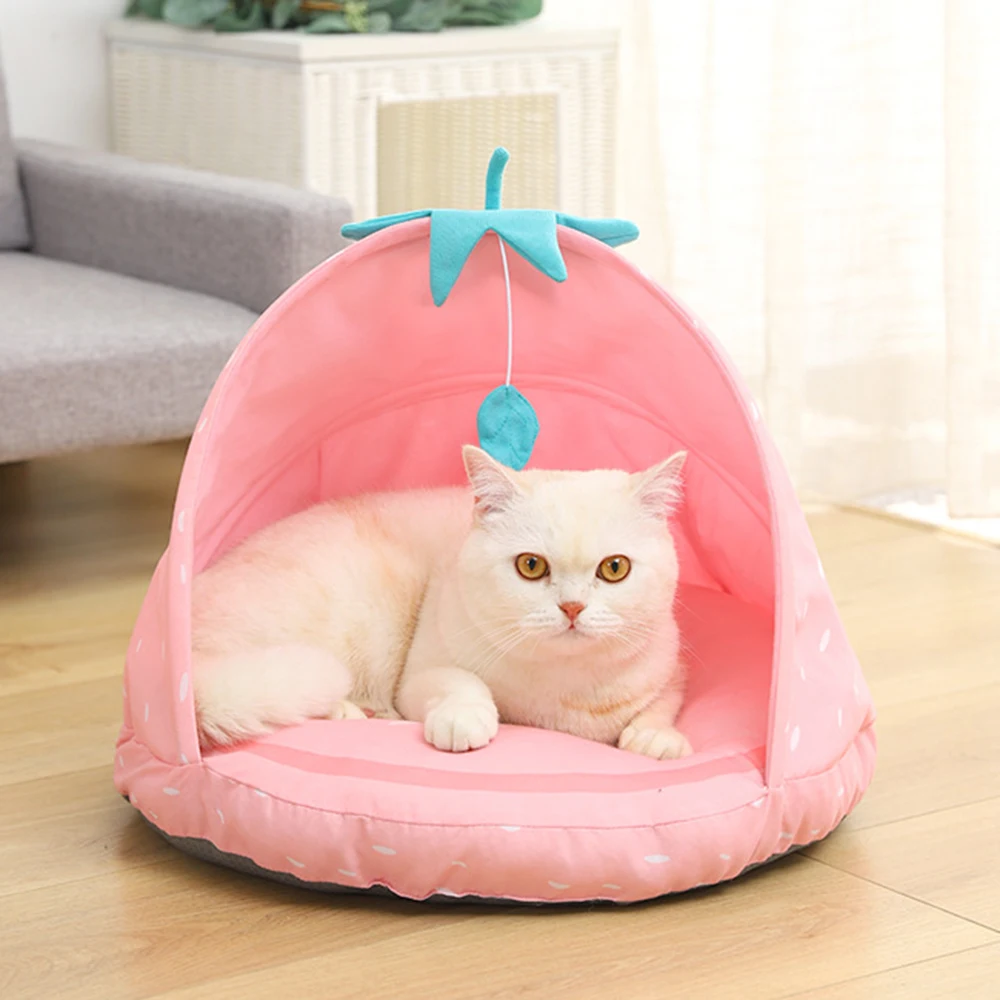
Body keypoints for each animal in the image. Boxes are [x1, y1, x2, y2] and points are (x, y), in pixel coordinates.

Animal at [192, 445, 693, 760]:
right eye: (531, 566)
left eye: (615, 568)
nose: (572, 608)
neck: (561, 691)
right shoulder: (420, 675)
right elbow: (460, 683)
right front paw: (464, 719)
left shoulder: (669, 667)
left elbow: (664, 704)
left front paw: (657, 739)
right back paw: (350, 709)